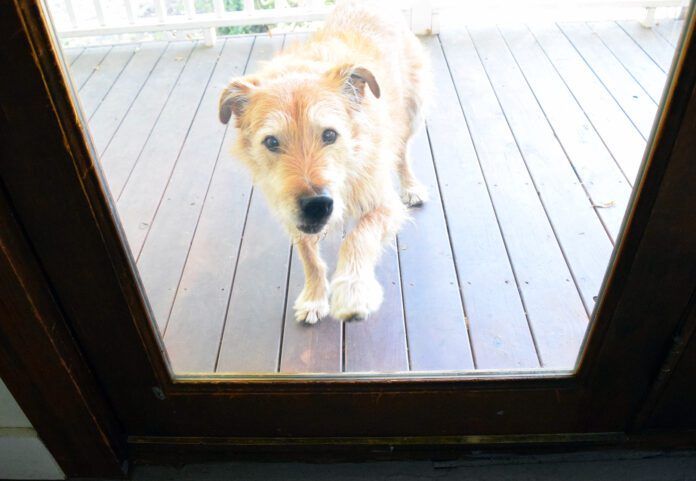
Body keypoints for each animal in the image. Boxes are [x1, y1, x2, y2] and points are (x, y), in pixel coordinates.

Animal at [220, 0, 432, 322]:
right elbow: (309, 256)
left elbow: (359, 237)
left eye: (330, 134)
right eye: (271, 142)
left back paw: (411, 186)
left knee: (402, 151)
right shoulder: (291, 216)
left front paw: (353, 290)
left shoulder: (385, 206)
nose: (317, 205)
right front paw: (314, 297)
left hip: (414, 110)